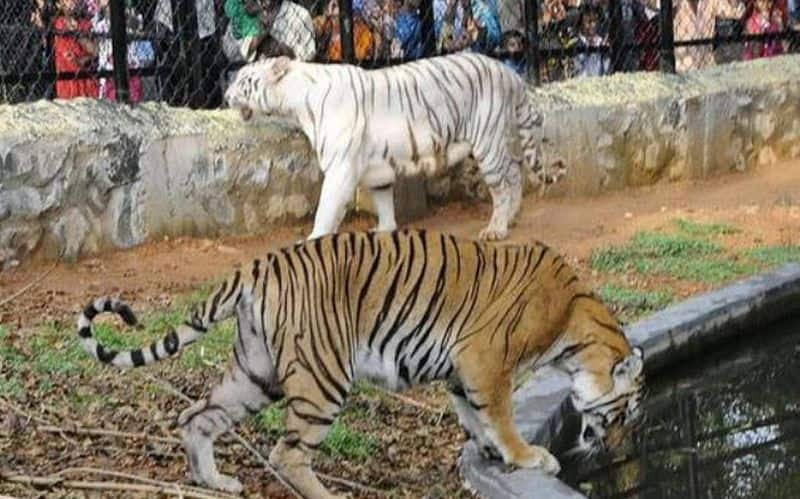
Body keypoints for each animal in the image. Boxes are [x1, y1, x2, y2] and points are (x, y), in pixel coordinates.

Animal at [222, 53, 564, 241]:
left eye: (243, 80)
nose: (225, 95)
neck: (295, 102)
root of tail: (510, 73)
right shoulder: (377, 167)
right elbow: (384, 200)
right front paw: (385, 229)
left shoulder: (340, 168)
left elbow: (326, 209)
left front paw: (313, 238)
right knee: (515, 172)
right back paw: (512, 218)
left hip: (487, 142)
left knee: (503, 183)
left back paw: (497, 228)